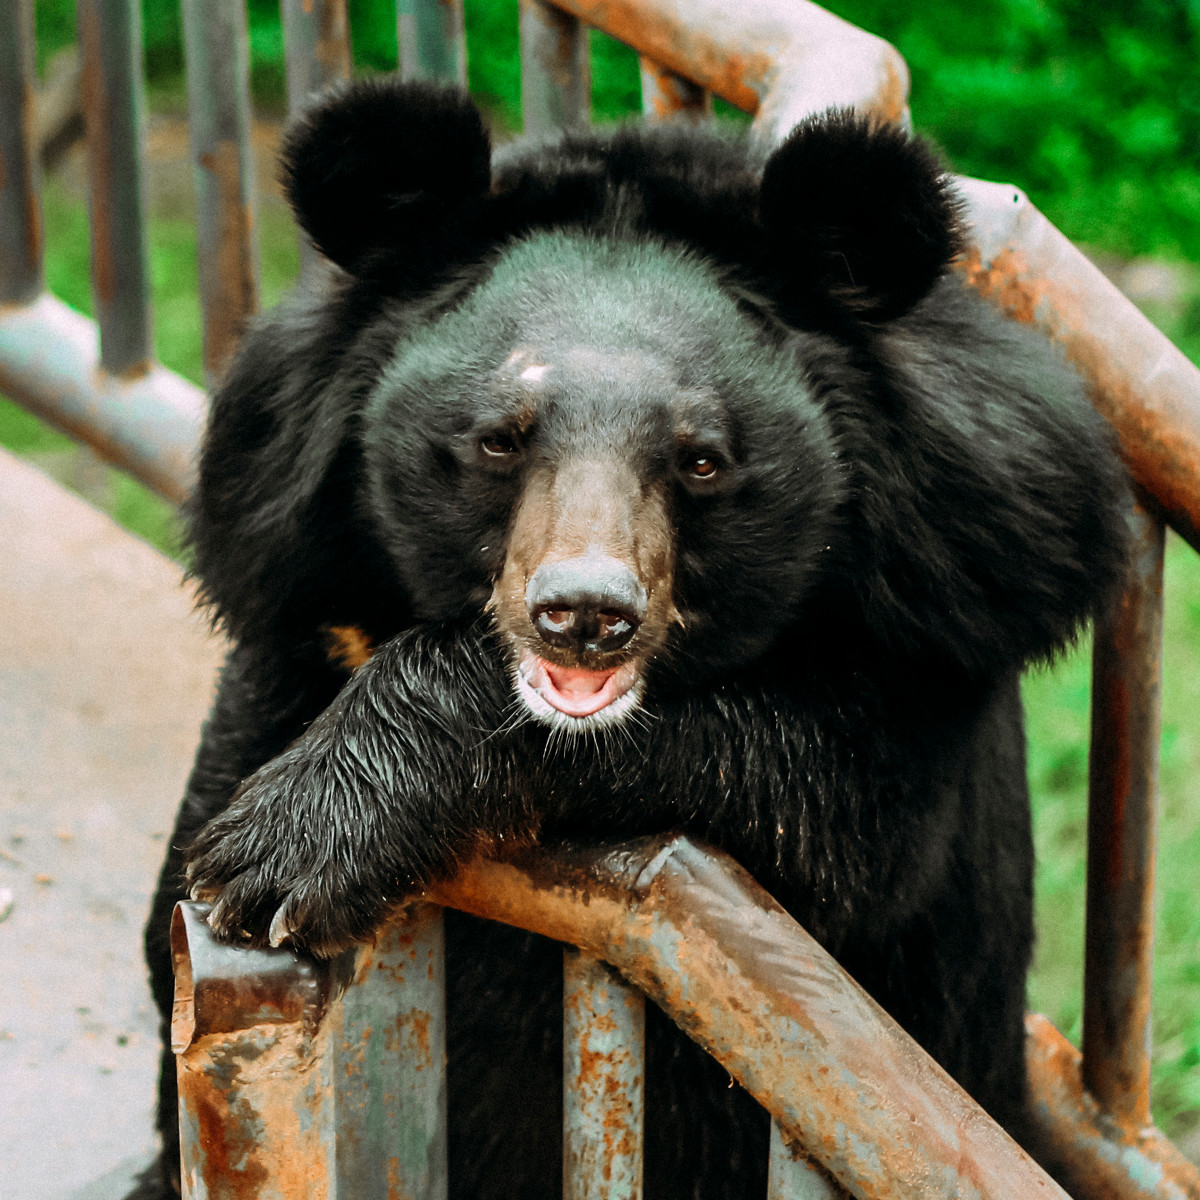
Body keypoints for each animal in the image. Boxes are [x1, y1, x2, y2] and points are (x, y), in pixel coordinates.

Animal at [136, 79, 1128, 1195]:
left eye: (701, 460)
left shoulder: (955, 609)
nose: (585, 614)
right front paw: (244, 875)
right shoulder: (295, 597)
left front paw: (285, 851)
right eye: (499, 438)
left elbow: (834, 812)